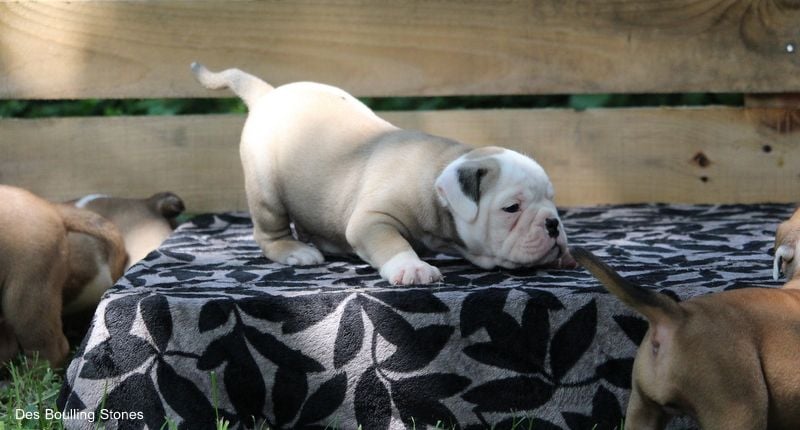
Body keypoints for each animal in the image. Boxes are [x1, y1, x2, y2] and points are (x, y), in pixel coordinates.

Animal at [191, 62, 572, 286]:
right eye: (512, 208)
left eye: (552, 201)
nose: (553, 224)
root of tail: (266, 94)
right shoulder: (373, 219)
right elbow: (391, 242)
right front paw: (413, 268)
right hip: (266, 189)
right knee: (269, 230)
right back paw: (294, 251)